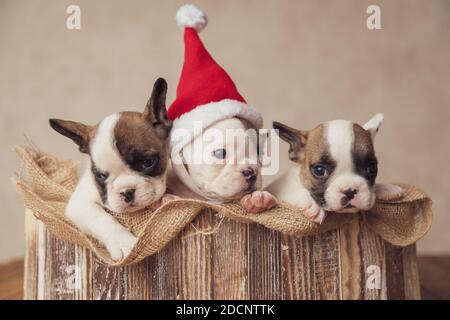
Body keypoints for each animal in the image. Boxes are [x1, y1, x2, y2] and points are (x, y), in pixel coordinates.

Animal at [49, 77, 172, 260]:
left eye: (147, 162)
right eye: (100, 176)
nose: (127, 192)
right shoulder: (80, 203)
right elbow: (101, 218)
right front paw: (122, 243)